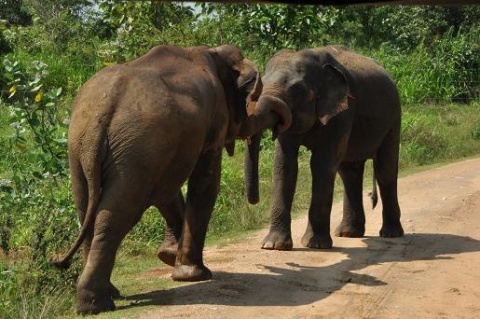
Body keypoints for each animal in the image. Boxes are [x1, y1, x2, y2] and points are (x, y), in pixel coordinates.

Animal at [52, 44, 292, 316]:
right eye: (253, 94)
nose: (278, 128)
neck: (213, 52)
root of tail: (100, 115)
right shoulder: (213, 119)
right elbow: (205, 182)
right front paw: (194, 275)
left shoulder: (167, 148)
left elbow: (167, 190)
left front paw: (168, 256)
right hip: (135, 149)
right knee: (114, 216)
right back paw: (97, 305)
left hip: (81, 150)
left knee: (86, 211)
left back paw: (106, 296)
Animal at [246, 45, 404, 252]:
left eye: (298, 90)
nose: (253, 200)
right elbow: (285, 165)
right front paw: (273, 246)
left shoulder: (344, 110)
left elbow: (321, 164)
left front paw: (315, 245)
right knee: (349, 173)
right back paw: (348, 233)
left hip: (393, 118)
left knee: (385, 169)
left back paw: (390, 234)